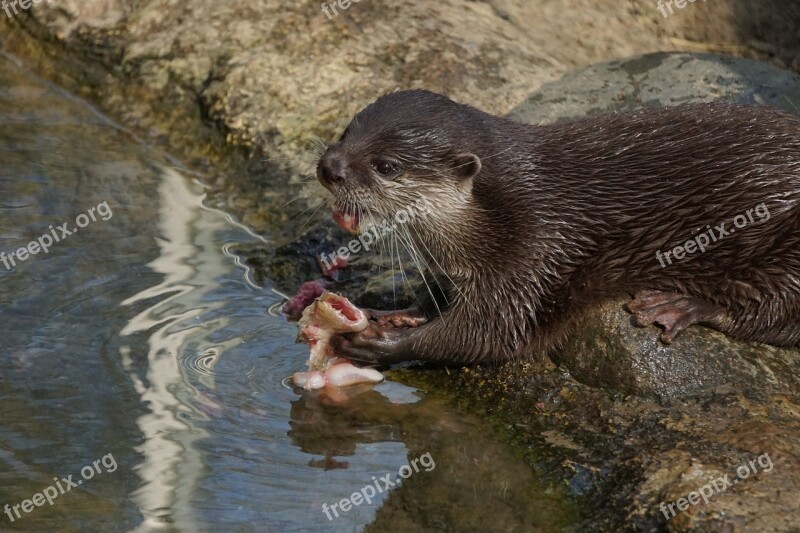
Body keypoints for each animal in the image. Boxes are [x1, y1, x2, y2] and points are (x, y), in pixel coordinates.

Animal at [314, 91, 800, 366]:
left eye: (386, 166)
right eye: (346, 131)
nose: (329, 167)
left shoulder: (531, 254)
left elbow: (488, 337)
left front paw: (386, 344)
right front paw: (397, 312)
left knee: (777, 316)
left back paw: (682, 305)